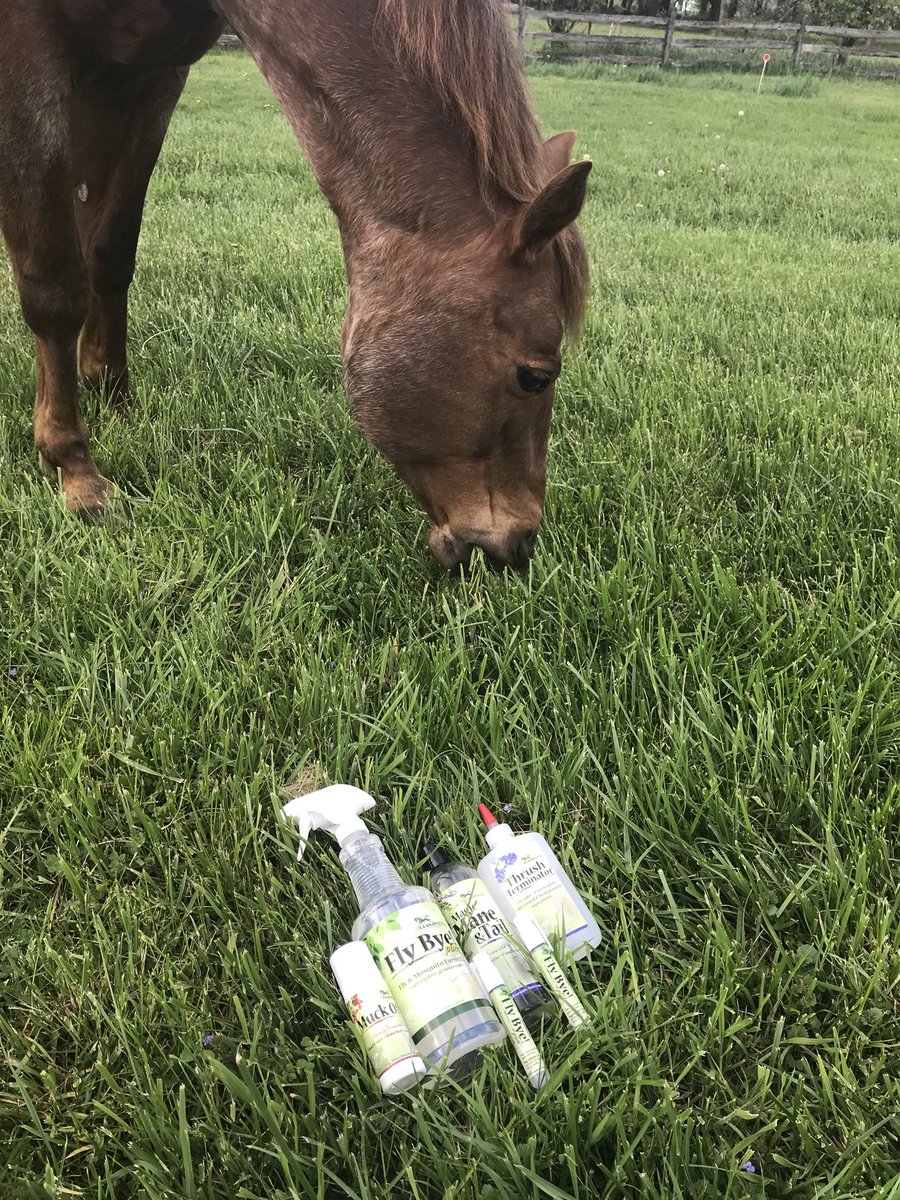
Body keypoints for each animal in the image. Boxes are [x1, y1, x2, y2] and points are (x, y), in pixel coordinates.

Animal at [0, 0, 589, 569]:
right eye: (534, 377)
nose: (521, 544)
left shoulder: (150, 76)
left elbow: (110, 249)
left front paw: (110, 390)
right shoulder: (32, 60)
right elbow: (55, 289)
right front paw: (74, 469)